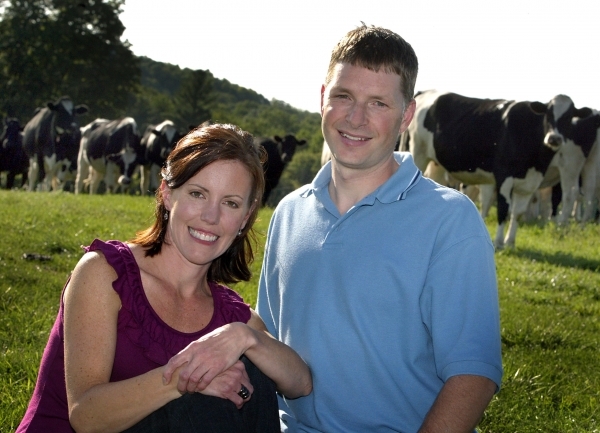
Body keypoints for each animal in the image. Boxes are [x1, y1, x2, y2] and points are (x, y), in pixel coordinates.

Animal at [400, 89, 588, 248]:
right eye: (548, 115)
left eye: (569, 118)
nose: (554, 138)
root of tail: (426, 92)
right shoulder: (504, 176)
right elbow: (503, 209)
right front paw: (498, 242)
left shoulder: (530, 184)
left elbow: (517, 213)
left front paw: (510, 242)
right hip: (418, 152)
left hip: (435, 163)